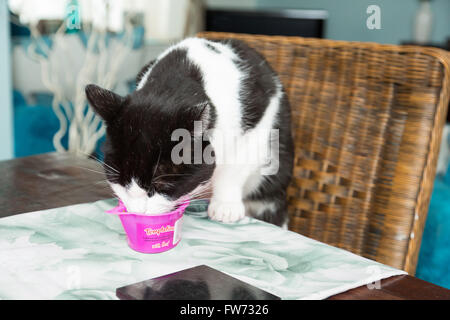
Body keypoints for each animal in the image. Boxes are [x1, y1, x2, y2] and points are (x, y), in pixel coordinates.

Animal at [85, 37, 294, 228]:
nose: (140, 211)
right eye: (119, 179)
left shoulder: (260, 119)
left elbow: (234, 167)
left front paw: (225, 206)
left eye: (163, 184)